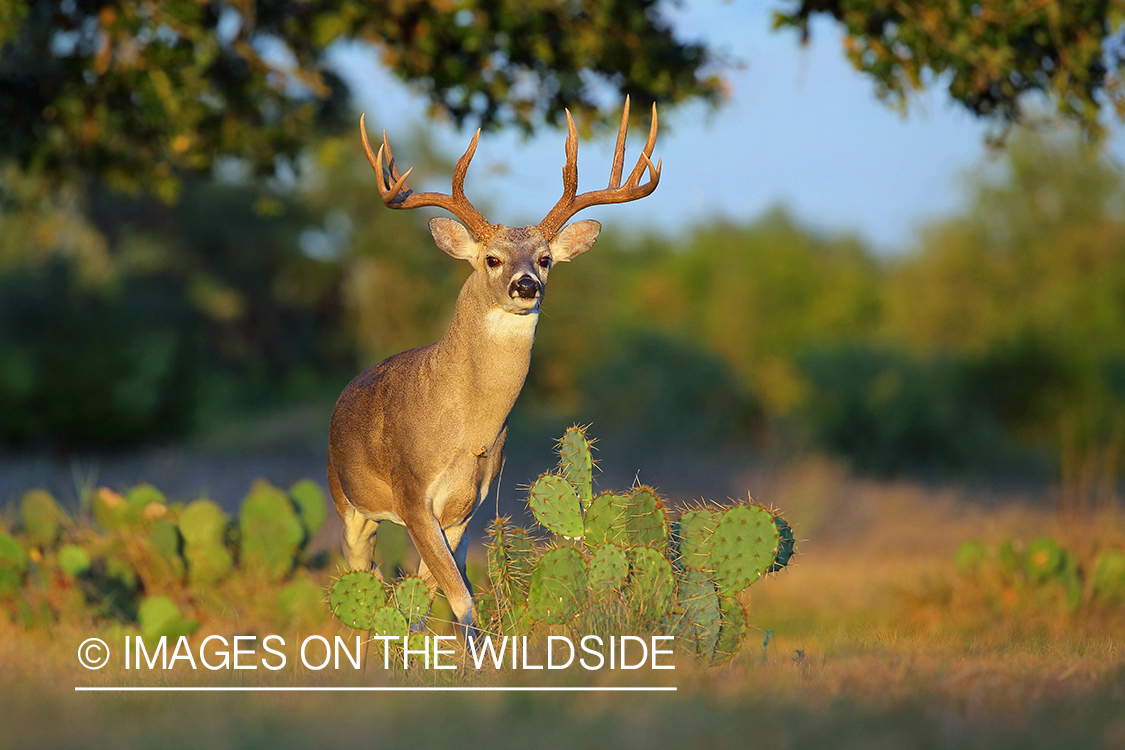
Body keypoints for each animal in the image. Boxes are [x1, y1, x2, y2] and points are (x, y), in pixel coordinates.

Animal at [326, 98, 657, 638]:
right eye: (492, 259)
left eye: (545, 259)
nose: (526, 285)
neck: (468, 426)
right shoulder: (412, 493)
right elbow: (453, 600)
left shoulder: (467, 508)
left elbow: (441, 597)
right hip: (347, 499)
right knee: (359, 574)